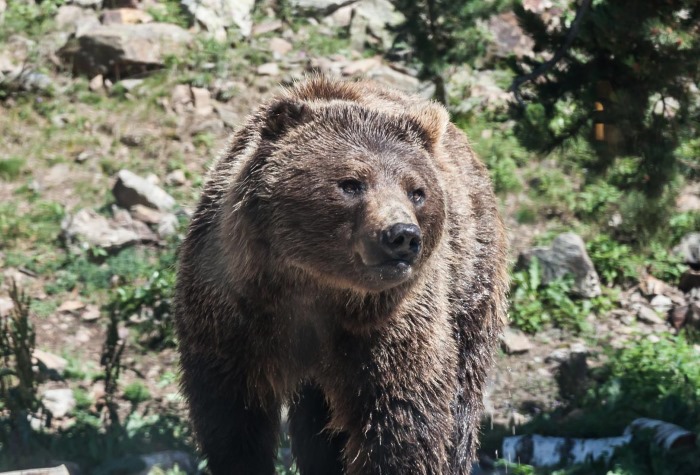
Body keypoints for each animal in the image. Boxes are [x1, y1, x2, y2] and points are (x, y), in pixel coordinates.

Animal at [175, 76, 508, 474]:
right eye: (351, 183)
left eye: (417, 191)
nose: (402, 235)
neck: (316, 284)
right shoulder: (234, 307)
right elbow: (230, 414)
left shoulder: (389, 327)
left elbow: (402, 421)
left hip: (471, 283)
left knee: (462, 394)